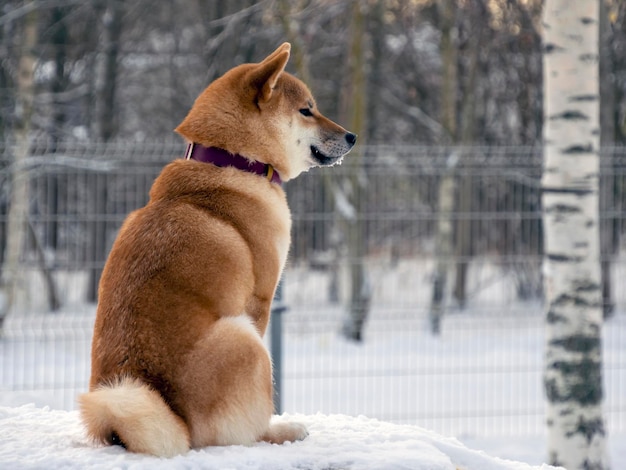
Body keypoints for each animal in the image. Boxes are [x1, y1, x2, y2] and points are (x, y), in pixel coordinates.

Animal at [78, 43, 356, 456]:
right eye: (306, 110)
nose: (352, 136)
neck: (233, 161)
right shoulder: (260, 301)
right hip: (244, 338)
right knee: (239, 433)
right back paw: (281, 431)